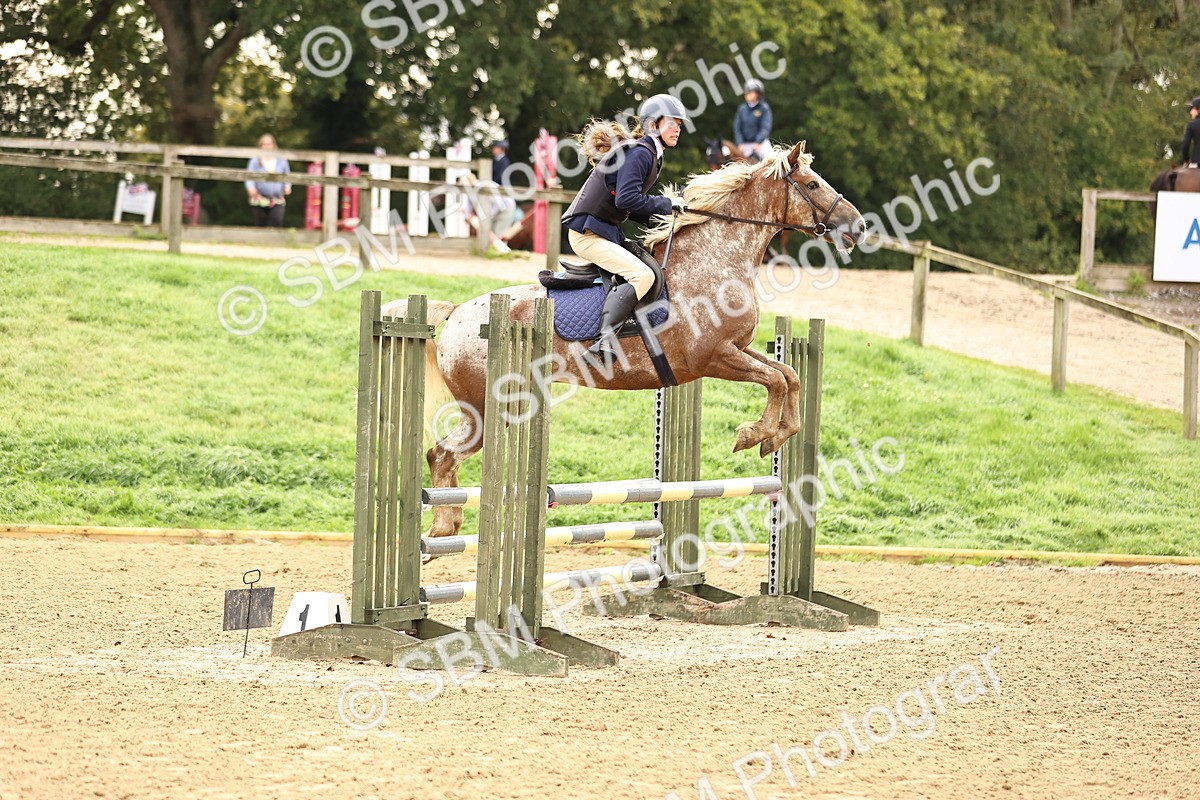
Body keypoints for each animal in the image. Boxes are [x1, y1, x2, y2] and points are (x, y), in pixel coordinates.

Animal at [394, 142, 866, 539]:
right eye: (812, 184)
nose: (859, 226)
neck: (716, 259)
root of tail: (457, 313)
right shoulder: (714, 358)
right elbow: (776, 380)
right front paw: (754, 435)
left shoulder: (738, 349)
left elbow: (788, 374)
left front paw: (777, 434)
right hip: (487, 407)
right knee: (442, 455)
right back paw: (443, 528)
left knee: (442, 455)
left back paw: (447, 526)